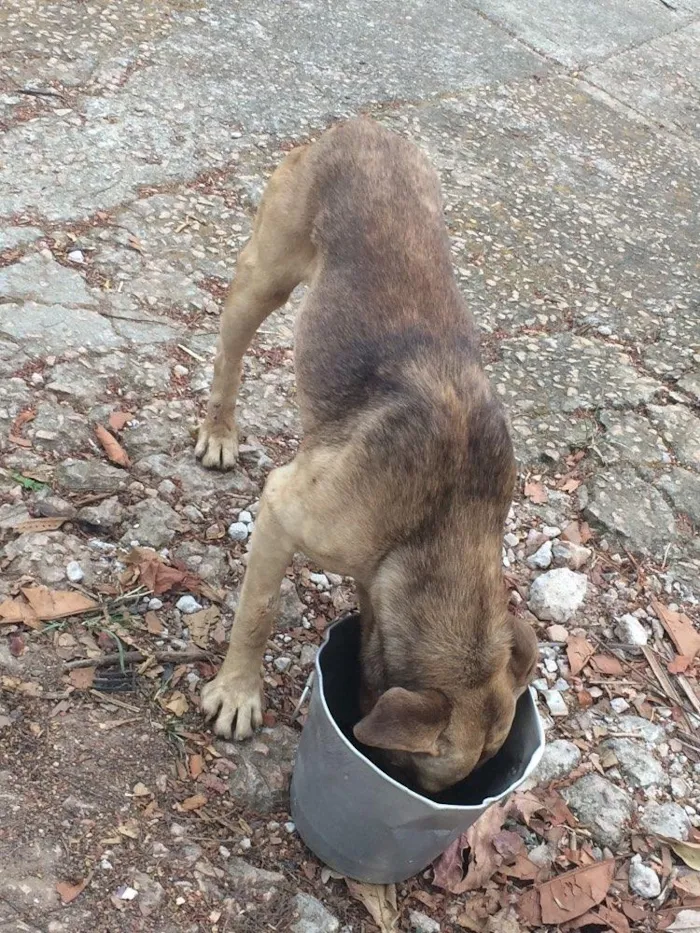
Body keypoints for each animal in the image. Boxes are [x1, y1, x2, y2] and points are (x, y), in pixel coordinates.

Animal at [197, 120, 536, 792]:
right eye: (424, 775)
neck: (440, 526)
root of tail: (361, 126)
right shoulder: (282, 512)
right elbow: (258, 613)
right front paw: (239, 691)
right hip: (264, 279)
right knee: (228, 356)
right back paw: (219, 429)